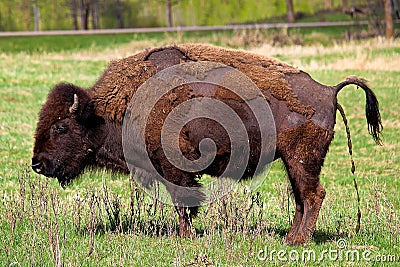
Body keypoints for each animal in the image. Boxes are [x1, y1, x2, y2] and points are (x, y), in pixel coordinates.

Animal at [32, 43, 382, 245]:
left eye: (61, 127)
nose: (37, 163)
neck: (109, 110)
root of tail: (328, 90)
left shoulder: (176, 168)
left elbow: (183, 202)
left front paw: (185, 237)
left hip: (302, 159)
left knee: (313, 196)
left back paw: (296, 242)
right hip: (294, 163)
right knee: (301, 199)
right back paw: (291, 238)